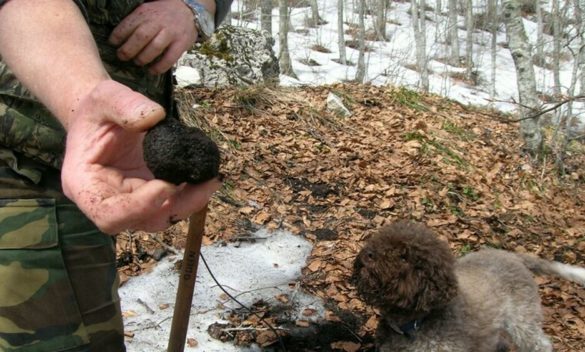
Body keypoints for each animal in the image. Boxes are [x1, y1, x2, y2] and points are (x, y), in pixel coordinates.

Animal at [352, 221, 584, 350]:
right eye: (380, 240)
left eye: (404, 257)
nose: (367, 254)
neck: (415, 322)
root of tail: (512, 256)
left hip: (523, 322)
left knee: (540, 343)